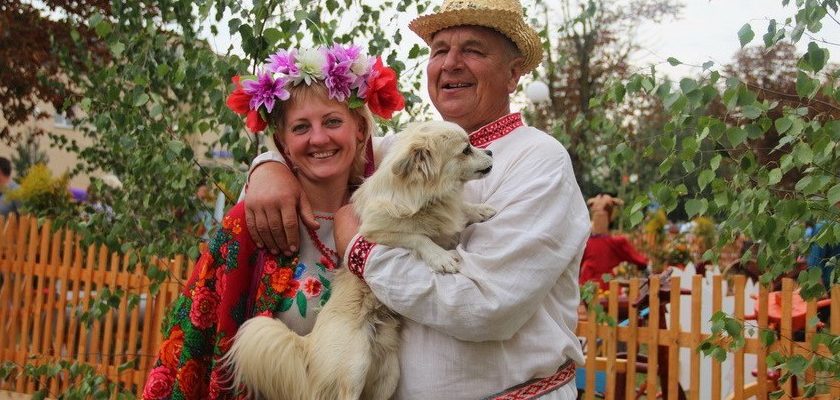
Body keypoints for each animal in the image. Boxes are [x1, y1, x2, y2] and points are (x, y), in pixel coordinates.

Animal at [223, 120, 495, 400]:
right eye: (466, 150)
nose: (491, 151)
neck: (428, 199)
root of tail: (308, 345)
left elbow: (458, 212)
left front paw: (478, 210)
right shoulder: (375, 232)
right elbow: (417, 237)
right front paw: (440, 257)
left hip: (388, 375)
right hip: (354, 366)